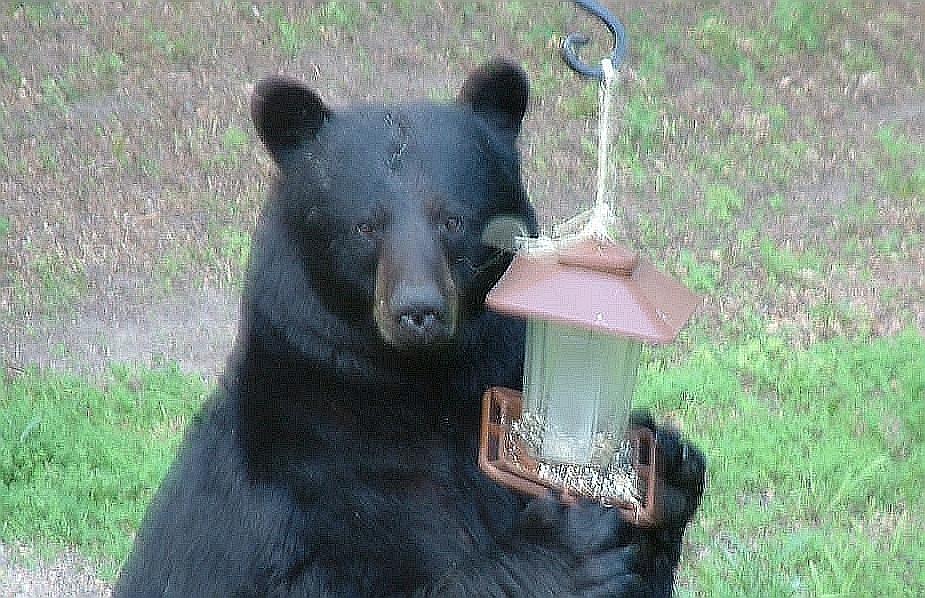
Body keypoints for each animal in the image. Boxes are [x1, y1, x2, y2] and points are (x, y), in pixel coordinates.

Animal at [114, 59, 705, 597]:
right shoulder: (286, 500)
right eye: (366, 225)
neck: (408, 389)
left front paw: (666, 472)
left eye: (454, 219)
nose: (418, 310)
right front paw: (560, 554)